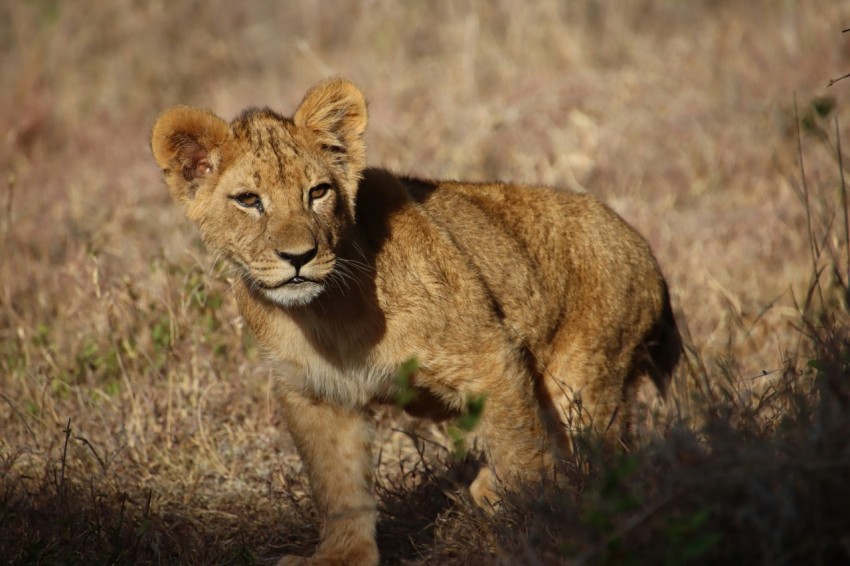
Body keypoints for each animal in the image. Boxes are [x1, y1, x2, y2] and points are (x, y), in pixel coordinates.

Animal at [150, 78, 681, 565]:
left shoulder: (491, 358)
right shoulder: (317, 395)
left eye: (317, 192)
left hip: (585, 386)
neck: (324, 315)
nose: (299, 257)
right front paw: (343, 556)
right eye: (248, 200)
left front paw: (536, 535)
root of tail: (644, 250)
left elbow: (521, 458)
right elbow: (339, 486)